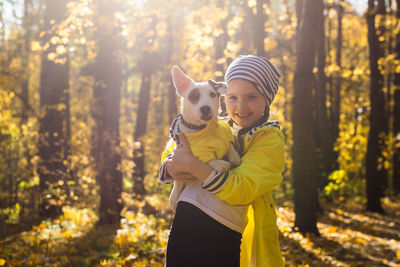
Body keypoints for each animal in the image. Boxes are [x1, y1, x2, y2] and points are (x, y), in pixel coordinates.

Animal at [167, 66, 239, 210]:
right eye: (193, 96)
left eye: (212, 94)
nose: (205, 108)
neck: (203, 129)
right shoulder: (188, 156)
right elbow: (203, 160)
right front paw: (219, 163)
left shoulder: (223, 134)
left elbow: (228, 143)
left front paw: (234, 155)